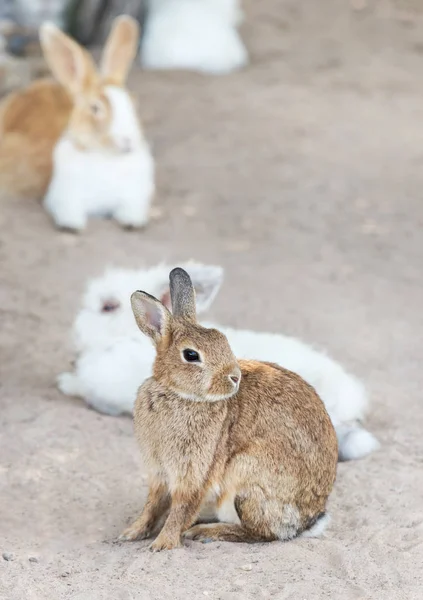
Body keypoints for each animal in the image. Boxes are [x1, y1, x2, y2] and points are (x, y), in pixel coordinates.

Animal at [0, 15, 155, 232]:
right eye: (95, 108)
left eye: (132, 102)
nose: (128, 141)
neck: (105, 157)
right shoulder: (63, 197)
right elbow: (69, 211)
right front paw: (71, 225)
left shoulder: (134, 197)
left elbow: (131, 210)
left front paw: (132, 222)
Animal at [121, 270, 340, 552]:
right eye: (191, 355)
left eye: (224, 341)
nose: (235, 377)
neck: (179, 393)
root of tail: (309, 521)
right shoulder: (158, 472)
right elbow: (152, 505)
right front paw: (131, 533)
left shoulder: (194, 472)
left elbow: (181, 509)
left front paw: (163, 544)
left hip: (247, 479)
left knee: (260, 533)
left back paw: (205, 531)